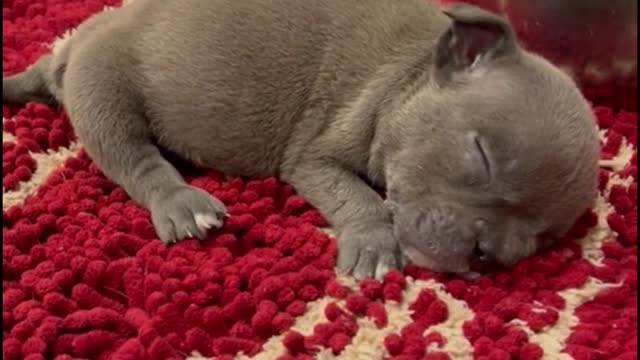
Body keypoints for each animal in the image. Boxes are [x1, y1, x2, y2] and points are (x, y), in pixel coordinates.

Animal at [2, 0, 600, 278]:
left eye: (538, 240)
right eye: (481, 156)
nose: (483, 256)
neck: (411, 74)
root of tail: (64, 49)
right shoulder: (317, 157)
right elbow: (359, 196)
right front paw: (374, 246)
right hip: (103, 90)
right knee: (133, 159)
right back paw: (182, 204)